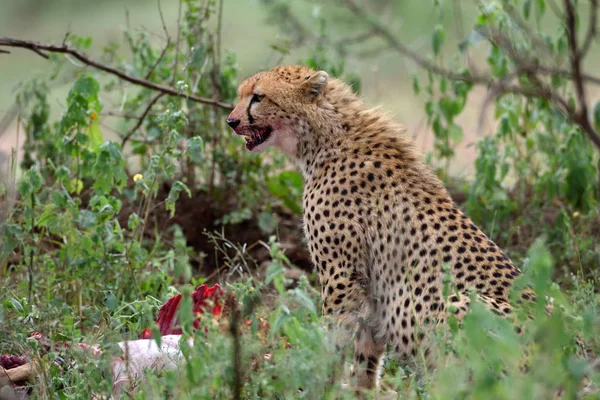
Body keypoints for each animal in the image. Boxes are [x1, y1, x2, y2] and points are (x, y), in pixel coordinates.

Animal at [229, 65, 528, 390]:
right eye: (241, 95)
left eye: (258, 97)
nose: (231, 121)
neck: (325, 136)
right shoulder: (368, 288)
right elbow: (366, 355)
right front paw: (358, 390)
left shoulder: (342, 276)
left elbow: (333, 338)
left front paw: (321, 383)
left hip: (459, 304)